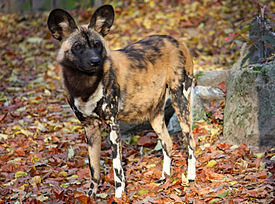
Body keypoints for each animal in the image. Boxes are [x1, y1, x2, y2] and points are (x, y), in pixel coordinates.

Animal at [47, 4, 196, 198]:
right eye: (78, 46)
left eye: (97, 45)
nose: (95, 61)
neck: (85, 86)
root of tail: (177, 40)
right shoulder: (90, 128)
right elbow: (94, 169)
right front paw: (90, 196)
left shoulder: (113, 126)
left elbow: (117, 169)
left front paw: (119, 196)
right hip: (154, 115)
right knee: (168, 143)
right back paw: (165, 178)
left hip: (180, 102)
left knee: (191, 142)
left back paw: (191, 177)